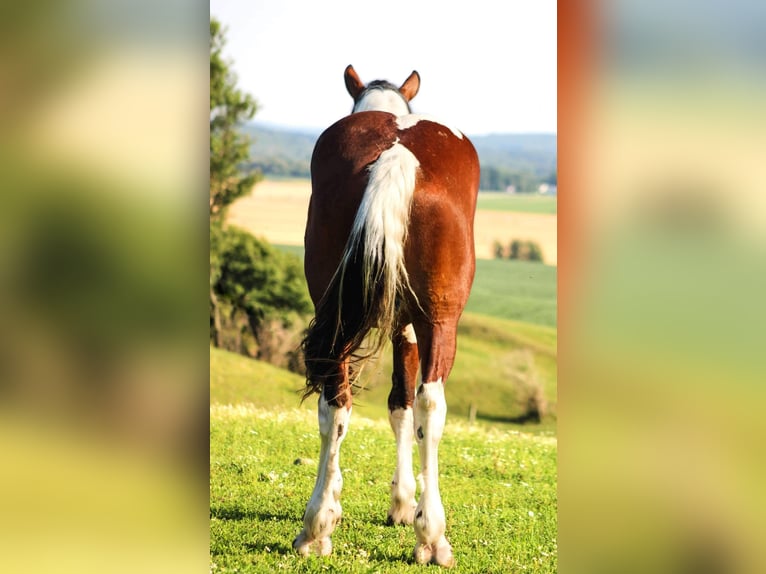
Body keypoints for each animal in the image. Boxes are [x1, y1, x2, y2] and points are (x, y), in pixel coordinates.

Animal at [294, 65, 480, 568]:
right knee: (430, 406)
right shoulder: (410, 328)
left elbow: (395, 405)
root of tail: (397, 154)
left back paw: (317, 526)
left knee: (334, 404)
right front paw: (403, 503)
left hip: (335, 316)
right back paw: (431, 535)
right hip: (439, 321)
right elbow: (403, 407)